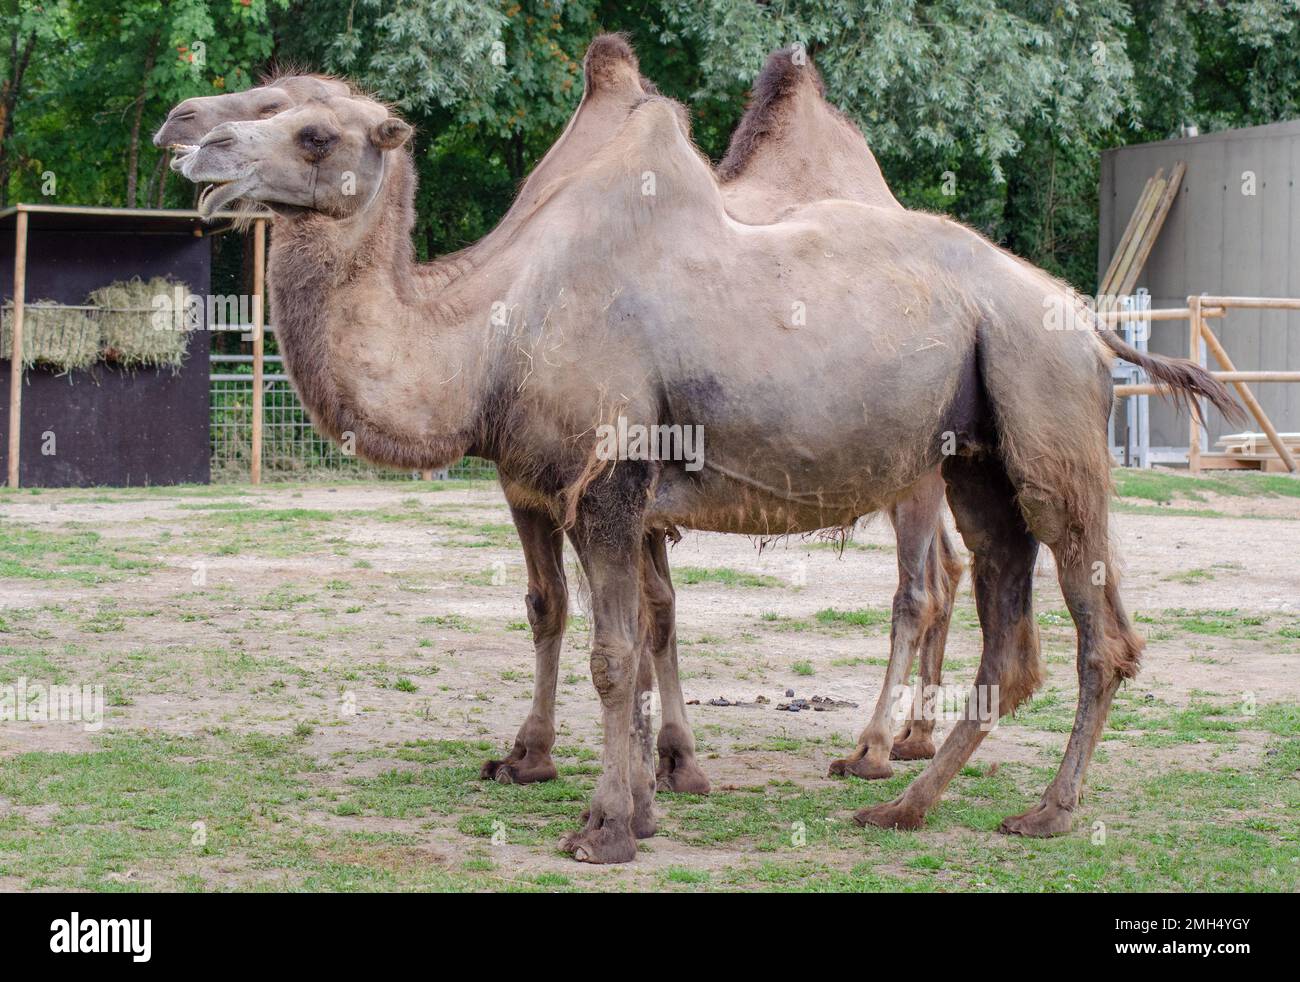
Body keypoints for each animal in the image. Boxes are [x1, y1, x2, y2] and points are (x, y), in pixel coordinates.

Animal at [172, 48, 1237, 858]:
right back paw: (901, 804)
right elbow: (622, 633)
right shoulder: (570, 489)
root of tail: (1087, 323)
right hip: (978, 458)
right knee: (1007, 633)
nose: (189, 133)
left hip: (1046, 429)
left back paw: (1033, 808)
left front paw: (604, 827)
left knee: (1087, 627)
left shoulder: (610, 479)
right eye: (265, 99)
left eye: (311, 130)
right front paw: (637, 797)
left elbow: (613, 654)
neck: (490, 335)